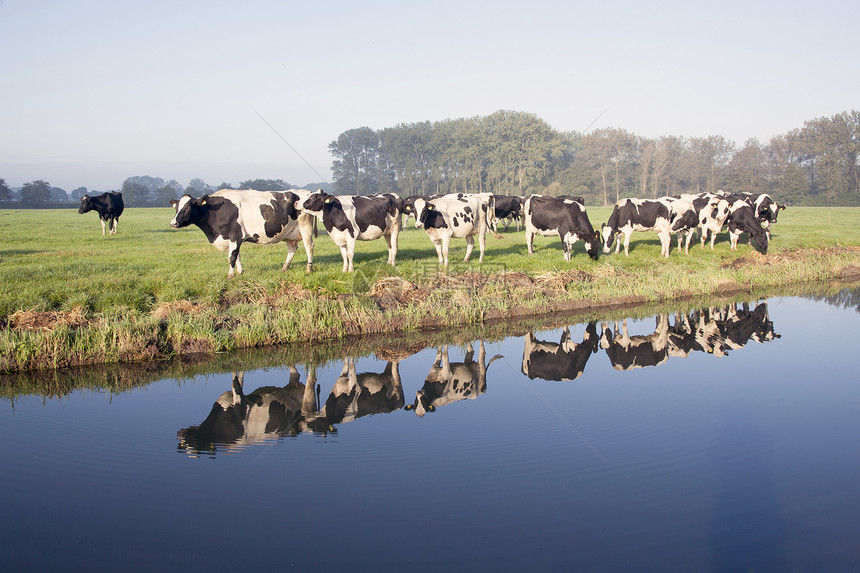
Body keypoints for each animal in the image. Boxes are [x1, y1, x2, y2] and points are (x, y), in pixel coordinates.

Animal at [168, 188, 316, 278]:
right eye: (176, 207)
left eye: (187, 207)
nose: (173, 223)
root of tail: (307, 192)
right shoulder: (233, 239)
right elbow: (237, 255)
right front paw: (240, 272)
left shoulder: (235, 234)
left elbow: (232, 257)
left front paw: (230, 275)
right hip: (289, 233)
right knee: (292, 248)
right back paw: (284, 268)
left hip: (305, 227)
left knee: (309, 247)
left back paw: (309, 269)